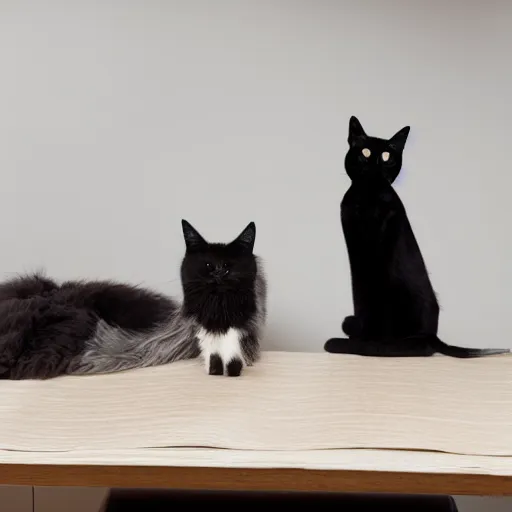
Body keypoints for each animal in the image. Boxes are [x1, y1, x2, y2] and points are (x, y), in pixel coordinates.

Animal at [324, 116, 508, 358]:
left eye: (386, 155)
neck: (368, 199)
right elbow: (360, 297)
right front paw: (360, 337)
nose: (376, 163)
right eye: (365, 152)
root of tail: (434, 335)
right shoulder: (356, 252)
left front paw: (364, 342)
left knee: (421, 347)